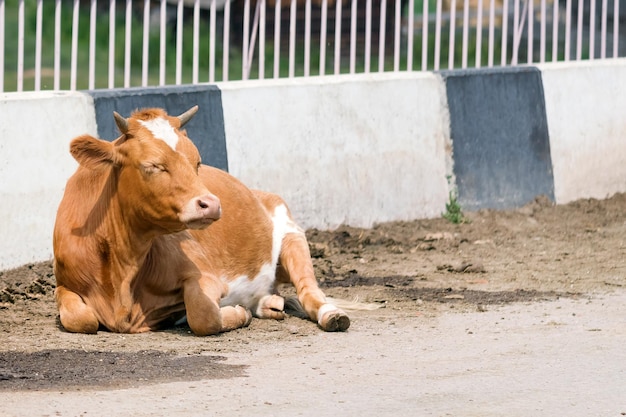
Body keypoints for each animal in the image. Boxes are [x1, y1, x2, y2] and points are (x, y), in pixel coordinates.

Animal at [51, 106, 354, 334]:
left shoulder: (204, 275)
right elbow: (80, 319)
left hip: (293, 237)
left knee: (310, 292)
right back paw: (268, 303)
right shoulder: (65, 284)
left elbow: (203, 315)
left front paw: (236, 314)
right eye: (153, 165)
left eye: (197, 162)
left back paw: (331, 315)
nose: (211, 204)